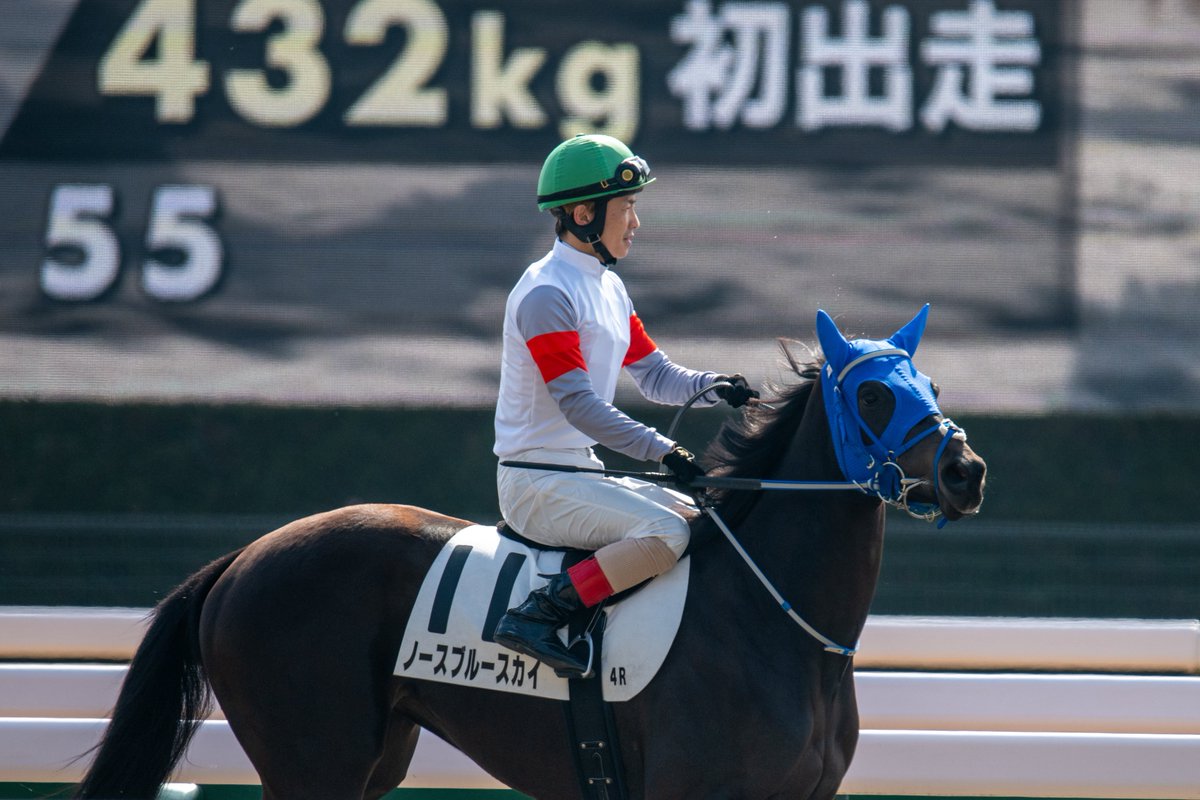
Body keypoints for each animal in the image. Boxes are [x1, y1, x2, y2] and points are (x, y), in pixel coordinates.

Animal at [75, 306, 986, 800]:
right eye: (873, 395)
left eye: (932, 387)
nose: (965, 471)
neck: (775, 622)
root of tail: (239, 562)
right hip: (313, 762)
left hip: (372, 759)